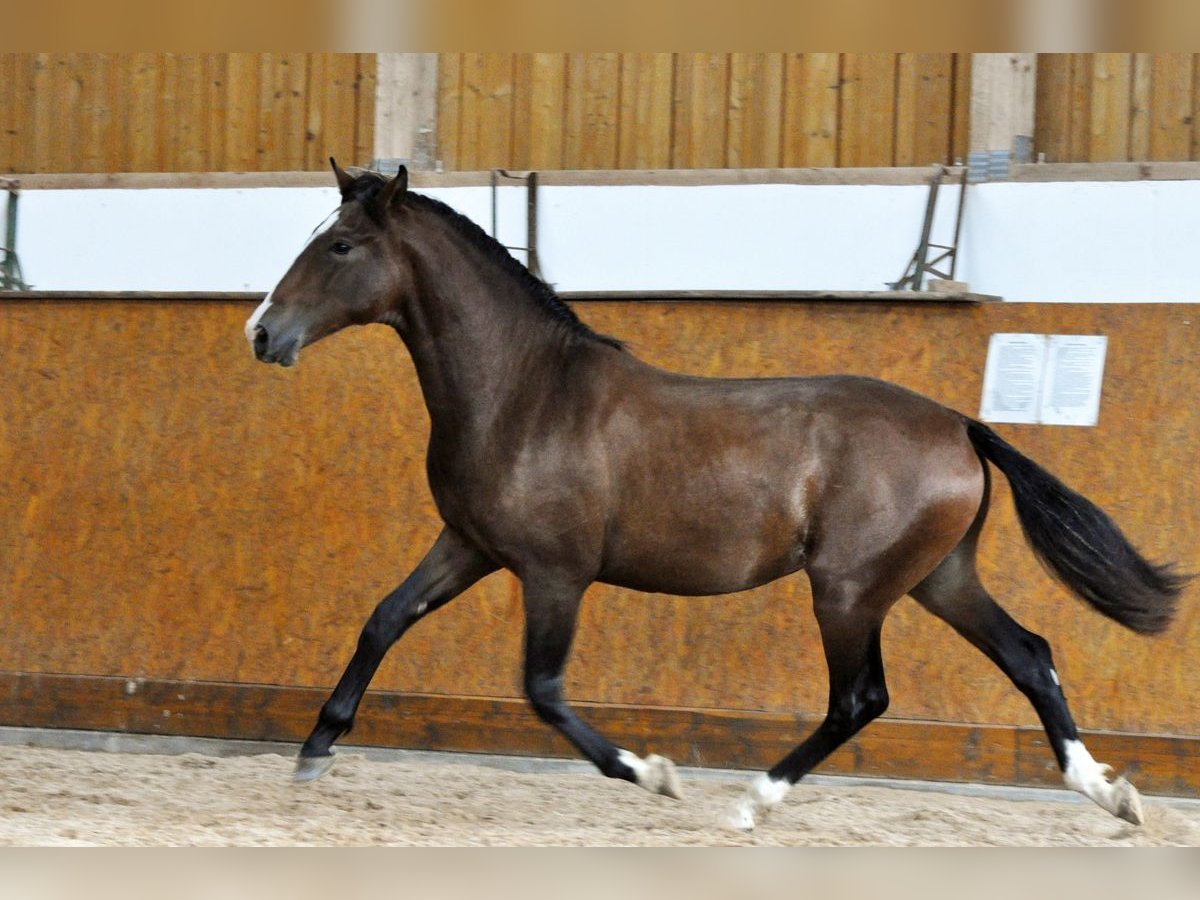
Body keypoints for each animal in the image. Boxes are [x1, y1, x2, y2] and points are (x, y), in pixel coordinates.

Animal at [243, 162, 1180, 830]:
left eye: (341, 246)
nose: (261, 332)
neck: (525, 392)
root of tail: (959, 426)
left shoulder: (554, 572)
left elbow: (542, 689)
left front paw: (653, 775)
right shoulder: (468, 546)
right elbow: (383, 620)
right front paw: (314, 751)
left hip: (849, 591)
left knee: (861, 698)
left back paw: (750, 801)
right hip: (936, 578)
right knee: (1029, 654)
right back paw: (1109, 793)